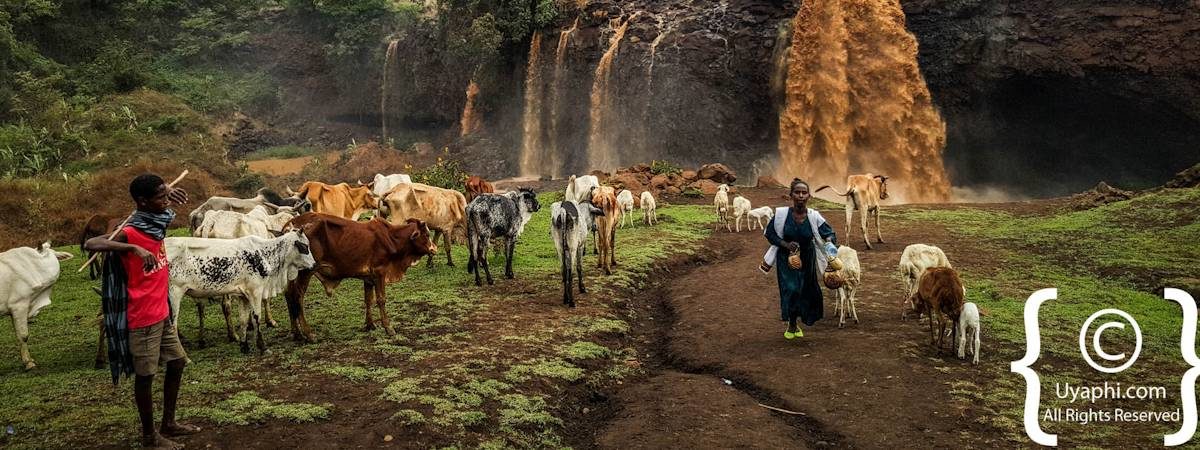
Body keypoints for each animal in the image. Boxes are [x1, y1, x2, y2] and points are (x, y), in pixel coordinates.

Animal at [165, 230, 314, 355]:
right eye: (305, 247)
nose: (314, 265)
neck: (264, 253)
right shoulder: (255, 292)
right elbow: (256, 318)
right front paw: (262, 347)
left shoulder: (243, 296)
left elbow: (243, 320)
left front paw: (244, 346)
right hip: (174, 294)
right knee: (172, 327)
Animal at [283, 213, 439, 343]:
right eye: (426, 234)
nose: (434, 248)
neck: (391, 237)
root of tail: (291, 224)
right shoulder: (380, 272)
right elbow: (381, 299)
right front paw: (388, 328)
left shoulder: (368, 277)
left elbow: (368, 299)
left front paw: (370, 324)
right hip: (306, 271)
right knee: (298, 297)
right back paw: (309, 334)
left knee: (289, 295)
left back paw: (296, 333)